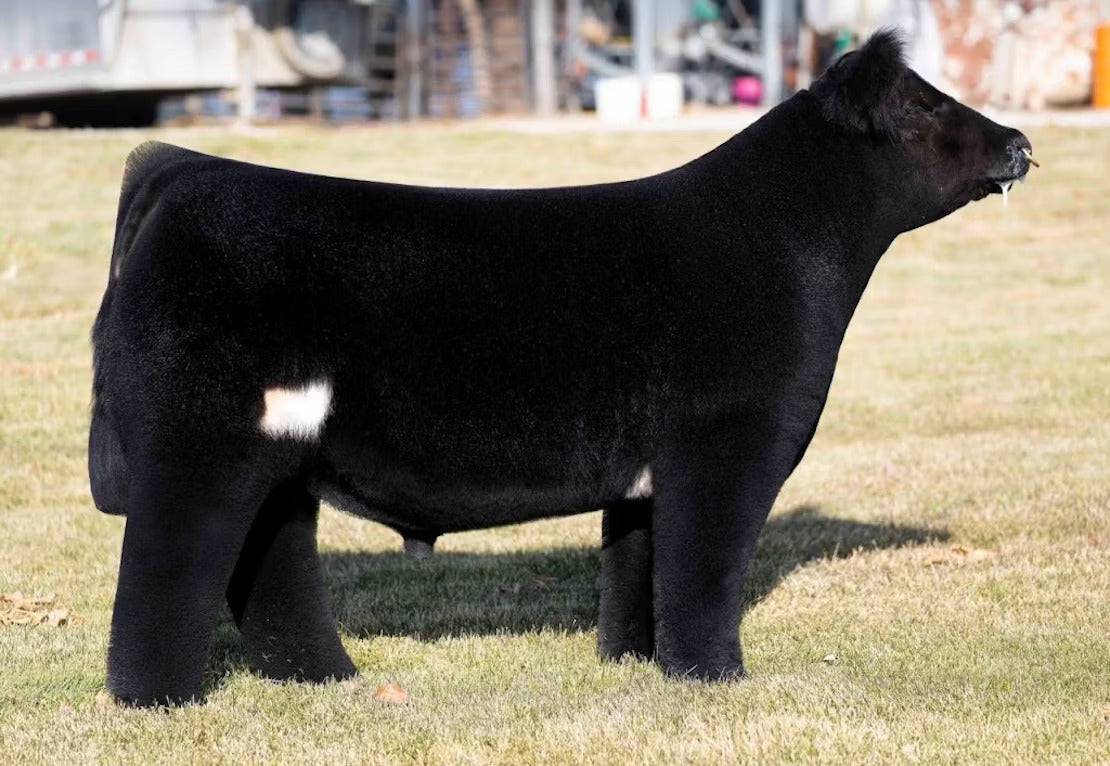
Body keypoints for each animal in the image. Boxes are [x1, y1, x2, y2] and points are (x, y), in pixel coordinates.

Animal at [89, 31, 1036, 706]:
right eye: (921, 106)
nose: (1020, 142)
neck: (784, 239)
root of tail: (184, 170)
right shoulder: (730, 445)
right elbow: (706, 570)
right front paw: (716, 679)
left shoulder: (652, 469)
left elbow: (640, 568)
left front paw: (636, 664)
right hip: (196, 445)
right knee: (166, 567)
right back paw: (160, 702)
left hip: (279, 457)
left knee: (270, 563)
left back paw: (328, 681)